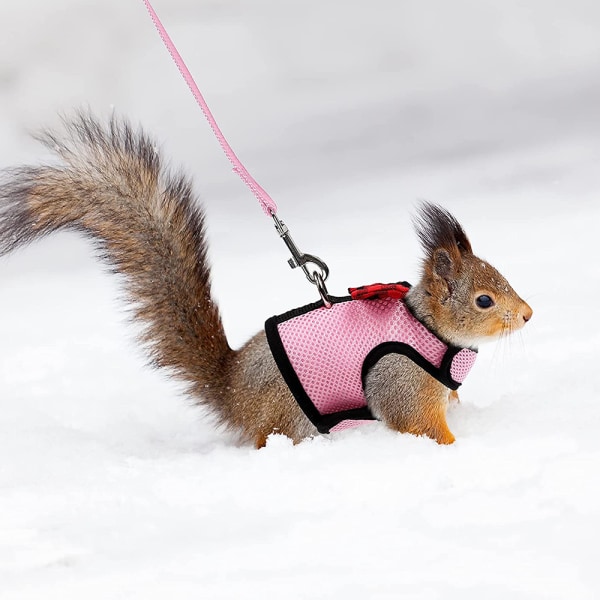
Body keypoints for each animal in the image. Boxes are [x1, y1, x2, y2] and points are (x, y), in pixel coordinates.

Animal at [1, 115, 536, 448]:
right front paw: (455, 447)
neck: (430, 330)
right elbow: (417, 424)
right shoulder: (400, 379)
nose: (529, 314)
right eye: (485, 300)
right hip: (291, 416)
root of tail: (231, 391)